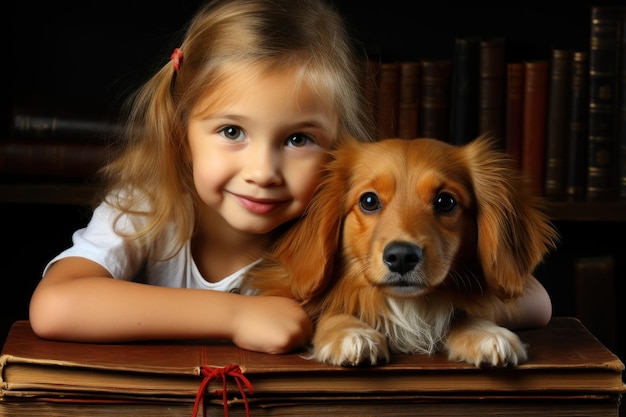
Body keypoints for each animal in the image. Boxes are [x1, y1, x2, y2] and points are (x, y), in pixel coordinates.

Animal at [243, 136, 556, 368]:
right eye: (369, 201)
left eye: (445, 201)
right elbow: (328, 306)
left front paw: (484, 331)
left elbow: (460, 312)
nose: (402, 256)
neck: (405, 306)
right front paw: (350, 330)